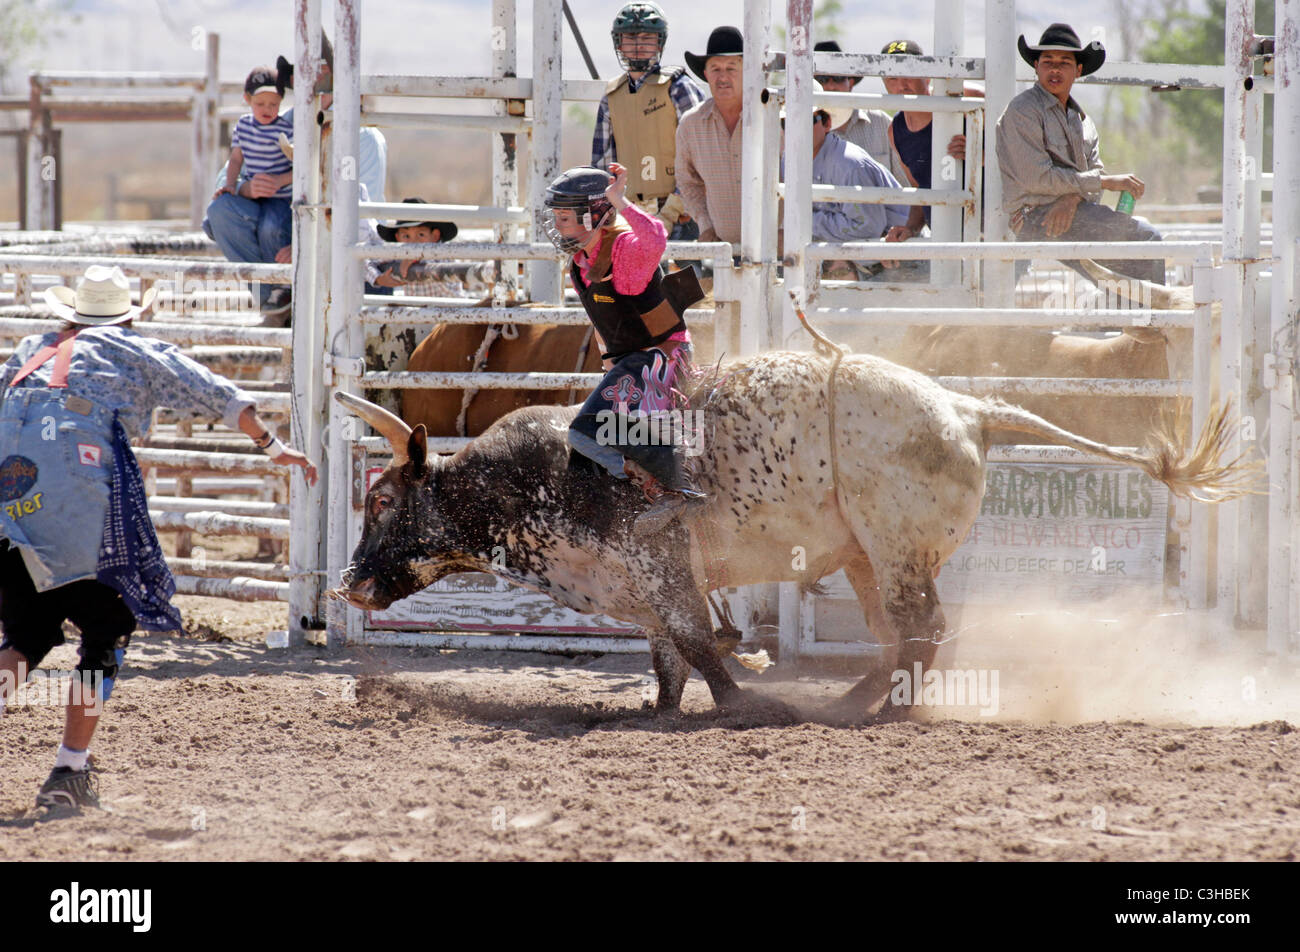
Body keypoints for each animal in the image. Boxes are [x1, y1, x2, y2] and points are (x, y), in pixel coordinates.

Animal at [332, 335, 1251, 722]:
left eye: (379, 502)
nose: (348, 583)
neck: (546, 474)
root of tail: (966, 409)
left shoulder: (658, 561)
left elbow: (696, 642)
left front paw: (746, 700)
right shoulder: (642, 582)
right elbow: (668, 654)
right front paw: (658, 709)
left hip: (898, 551)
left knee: (923, 631)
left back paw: (863, 709)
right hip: (869, 561)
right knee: (900, 636)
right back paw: (855, 699)